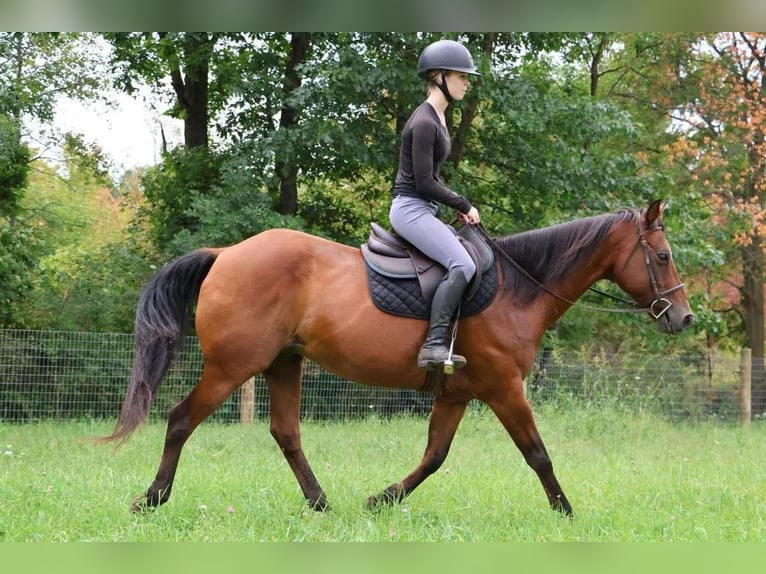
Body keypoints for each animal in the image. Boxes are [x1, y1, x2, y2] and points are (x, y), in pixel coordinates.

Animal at [100, 199, 696, 516]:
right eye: (664, 256)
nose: (685, 319)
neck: (517, 287)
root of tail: (227, 253)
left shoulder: (458, 393)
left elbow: (434, 457)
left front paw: (381, 500)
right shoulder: (505, 388)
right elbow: (538, 454)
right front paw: (565, 512)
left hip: (283, 363)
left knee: (286, 433)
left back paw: (322, 504)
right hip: (232, 368)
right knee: (180, 419)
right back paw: (151, 499)